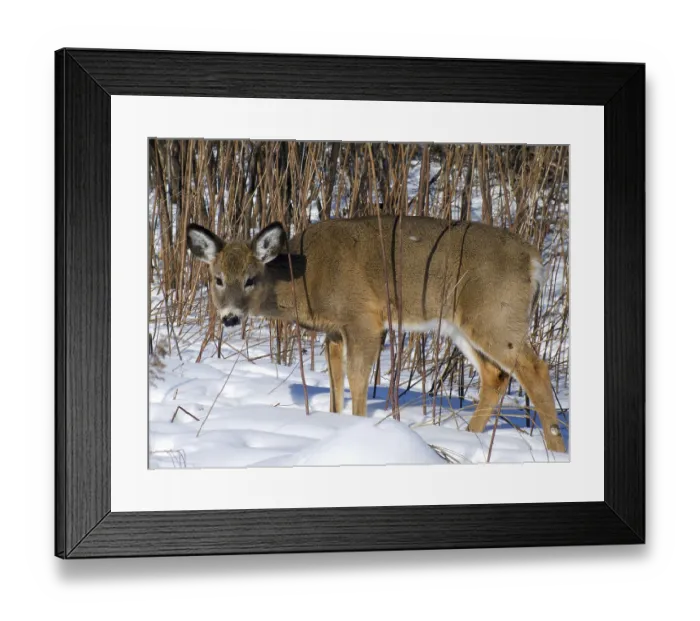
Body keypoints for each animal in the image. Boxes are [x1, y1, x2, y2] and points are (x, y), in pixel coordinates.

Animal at [186, 216, 566, 453]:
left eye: (250, 278)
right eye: (217, 278)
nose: (230, 317)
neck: (304, 279)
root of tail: (534, 260)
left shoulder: (364, 320)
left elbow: (357, 383)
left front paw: (359, 434)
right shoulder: (334, 332)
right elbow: (336, 388)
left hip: (495, 313)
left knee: (534, 369)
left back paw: (555, 448)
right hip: (463, 324)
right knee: (495, 375)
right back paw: (469, 437)